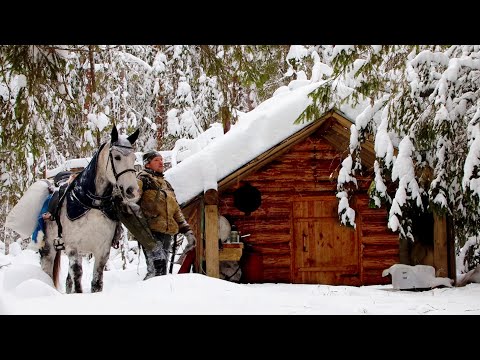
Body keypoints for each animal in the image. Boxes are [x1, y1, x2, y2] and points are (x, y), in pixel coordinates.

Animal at [40, 126, 140, 292]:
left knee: (68, 281)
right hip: (49, 249)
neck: (91, 204)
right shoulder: (73, 248)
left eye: (133, 158)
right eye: (117, 157)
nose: (132, 190)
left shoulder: (102, 251)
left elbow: (97, 282)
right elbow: (78, 280)